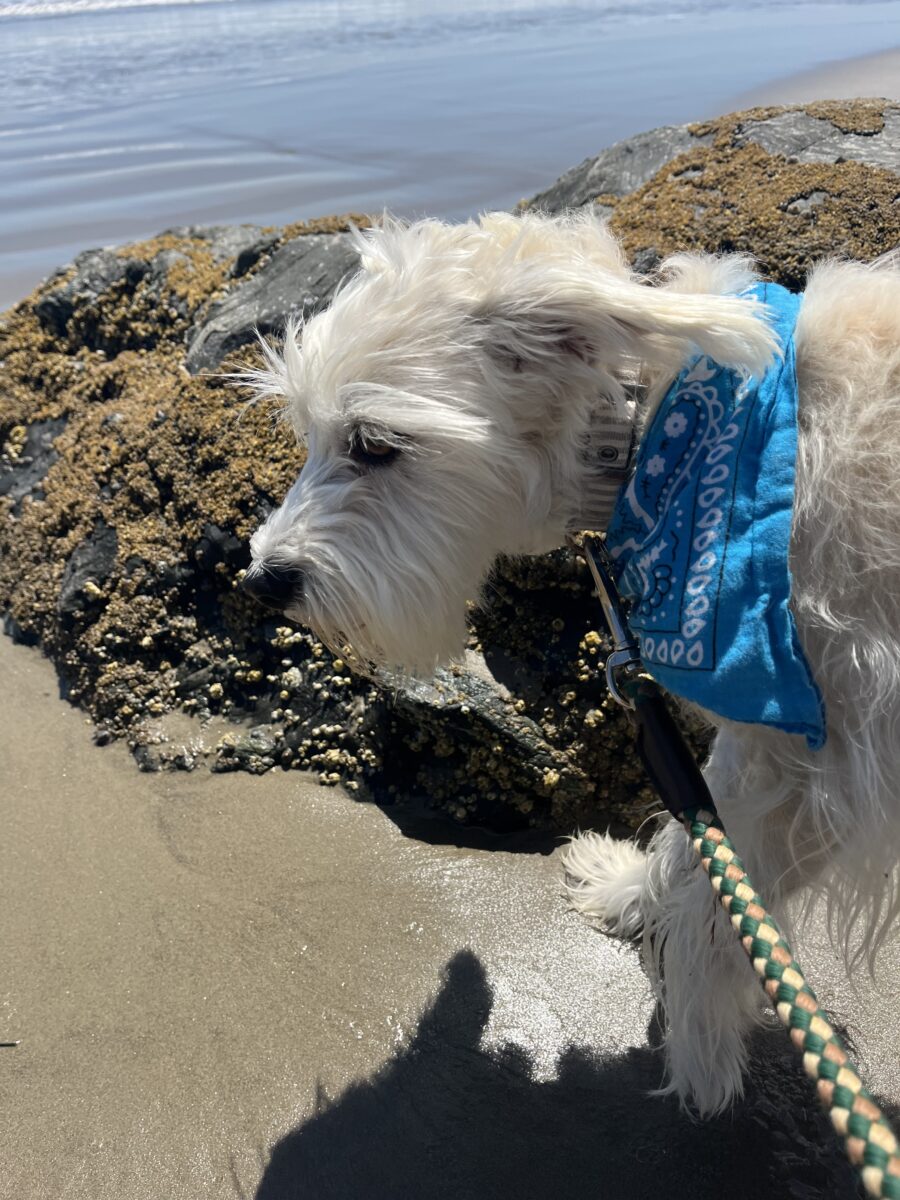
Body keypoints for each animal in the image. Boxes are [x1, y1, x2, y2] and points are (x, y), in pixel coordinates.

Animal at [241, 210, 900, 1116]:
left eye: (374, 444)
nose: (263, 580)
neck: (651, 429)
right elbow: (695, 836)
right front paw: (627, 892)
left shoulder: (806, 751)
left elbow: (713, 878)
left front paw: (698, 1034)